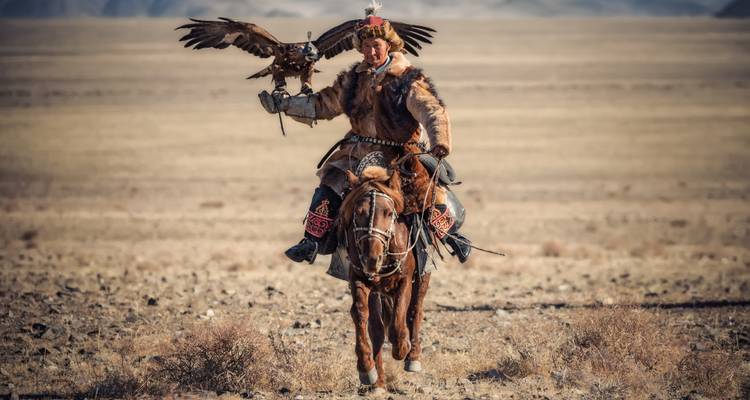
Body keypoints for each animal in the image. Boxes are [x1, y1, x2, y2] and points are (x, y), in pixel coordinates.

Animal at [338, 164, 432, 393]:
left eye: (389, 213)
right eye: (358, 213)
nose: (372, 258)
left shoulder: (405, 280)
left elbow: (400, 316)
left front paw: (402, 348)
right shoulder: (361, 280)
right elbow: (364, 318)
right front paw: (367, 370)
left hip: (422, 277)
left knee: (415, 310)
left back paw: (413, 356)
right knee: (379, 328)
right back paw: (379, 381)